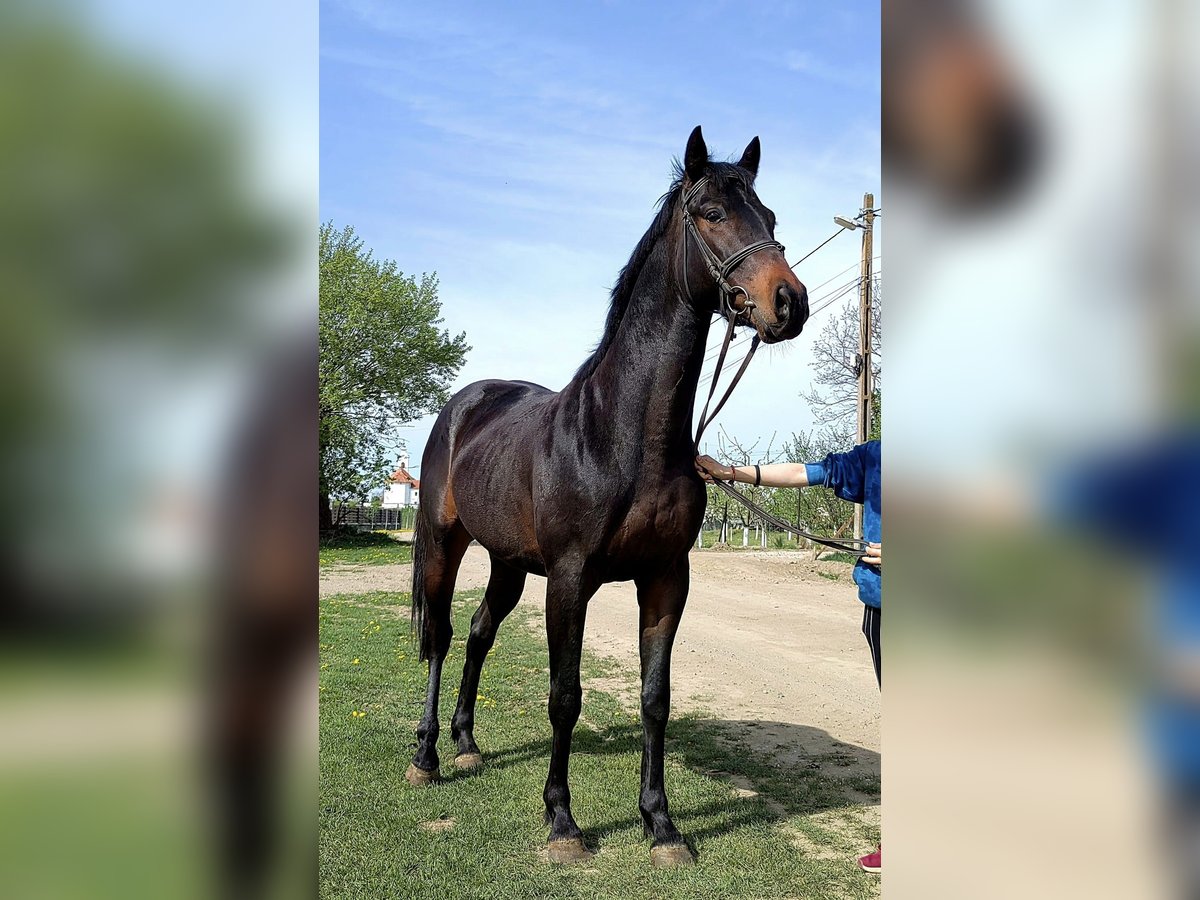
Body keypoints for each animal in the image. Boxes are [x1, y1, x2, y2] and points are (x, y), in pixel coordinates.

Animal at [408, 127, 811, 868]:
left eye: (770, 218)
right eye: (712, 212)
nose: (788, 302)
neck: (627, 434)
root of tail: (466, 402)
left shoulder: (666, 577)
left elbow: (656, 698)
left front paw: (662, 825)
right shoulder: (571, 579)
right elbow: (565, 696)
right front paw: (563, 823)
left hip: (509, 564)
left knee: (479, 634)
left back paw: (468, 743)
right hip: (447, 542)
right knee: (442, 637)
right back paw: (426, 758)